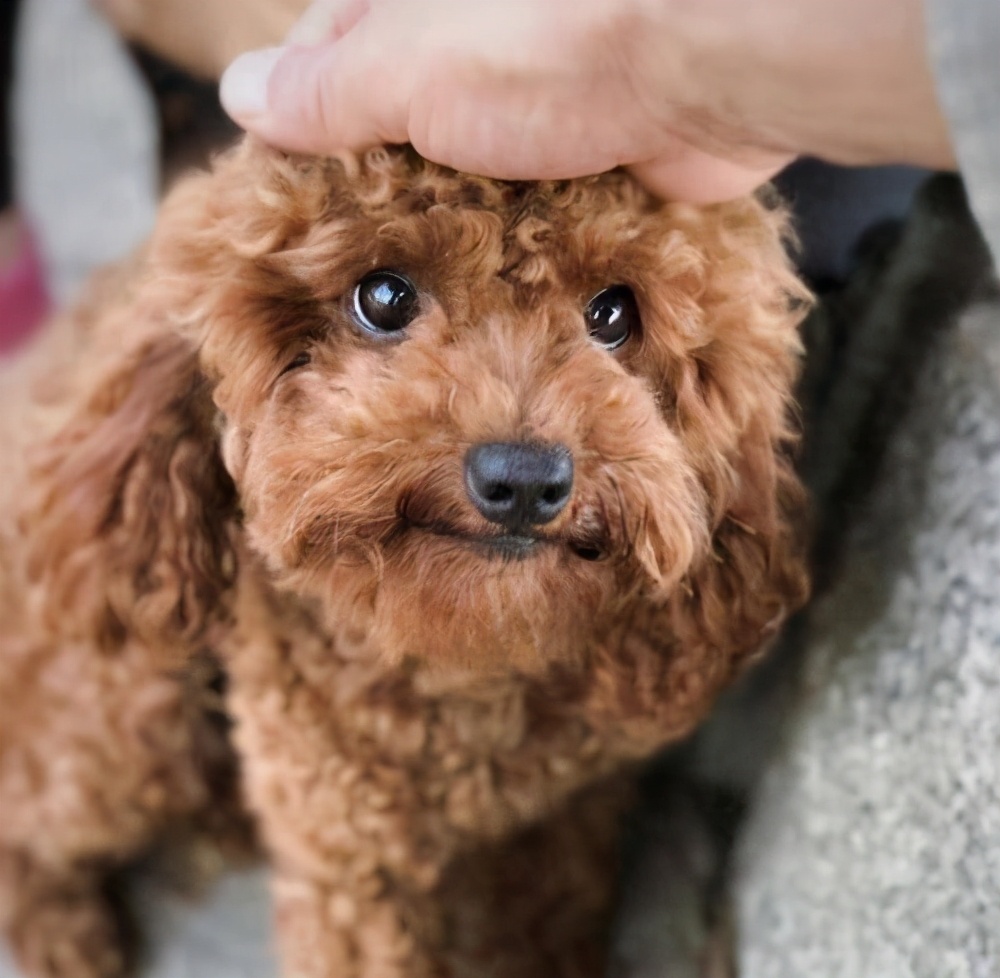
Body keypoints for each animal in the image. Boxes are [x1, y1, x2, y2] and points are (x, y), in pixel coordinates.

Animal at [0, 139, 808, 976]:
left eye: (613, 314)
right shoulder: (348, 854)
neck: (464, 668)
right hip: (125, 710)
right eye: (384, 299)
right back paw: (59, 928)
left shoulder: (565, 822)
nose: (524, 480)